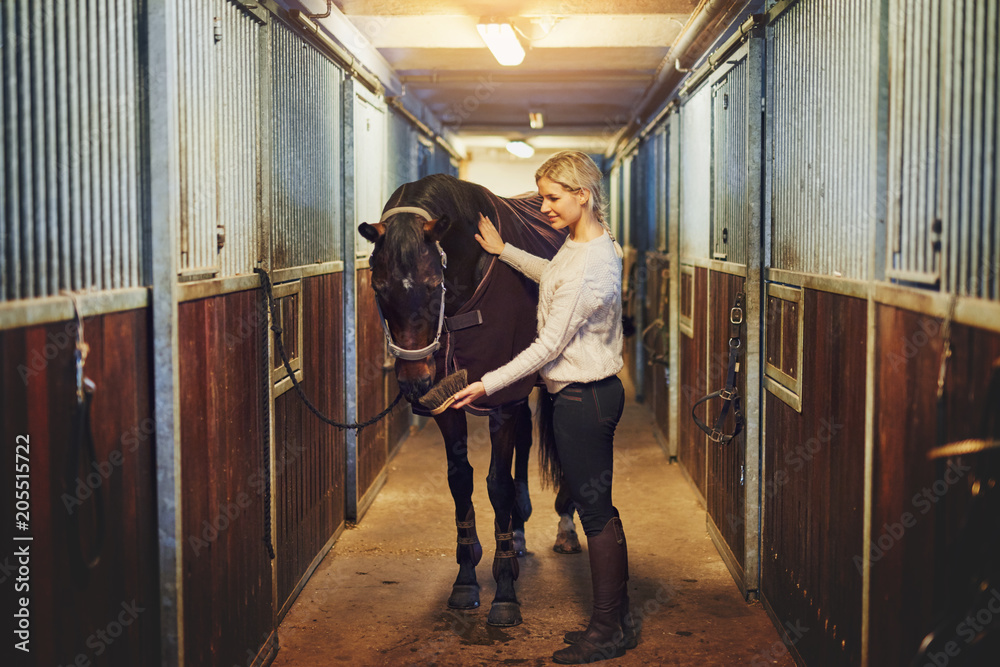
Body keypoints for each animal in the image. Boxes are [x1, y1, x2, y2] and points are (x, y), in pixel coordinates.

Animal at [362, 172, 576, 628]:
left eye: (431, 286)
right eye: (379, 288)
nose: (414, 383)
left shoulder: (502, 400)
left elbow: (496, 484)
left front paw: (505, 590)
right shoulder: (447, 401)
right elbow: (461, 479)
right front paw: (466, 579)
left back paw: (565, 527)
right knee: (525, 441)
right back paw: (519, 531)